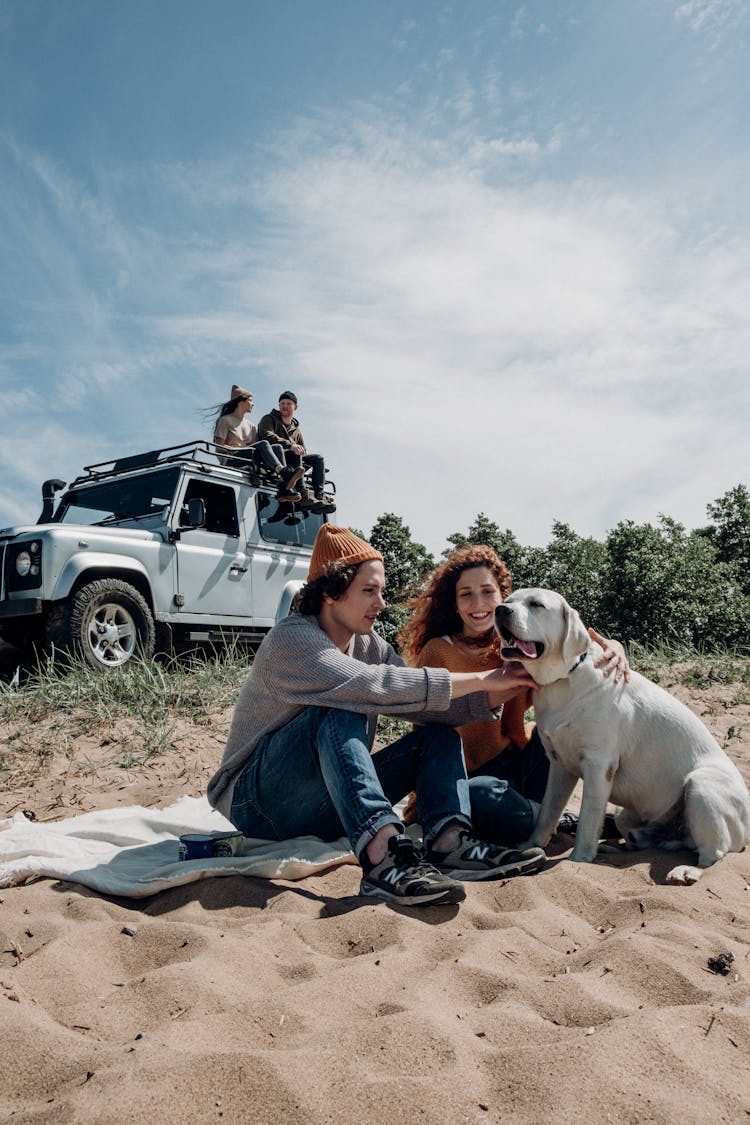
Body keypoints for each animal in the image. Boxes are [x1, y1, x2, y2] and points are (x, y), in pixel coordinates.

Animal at [494, 589, 746, 886]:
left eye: (536, 605)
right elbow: (547, 813)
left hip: (701, 786)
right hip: (626, 815)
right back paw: (619, 847)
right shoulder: (559, 765)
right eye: (508, 600)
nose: (500, 610)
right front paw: (529, 846)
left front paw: (579, 859)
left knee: (714, 853)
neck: (563, 679)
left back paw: (687, 870)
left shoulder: (599, 764)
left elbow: (588, 819)